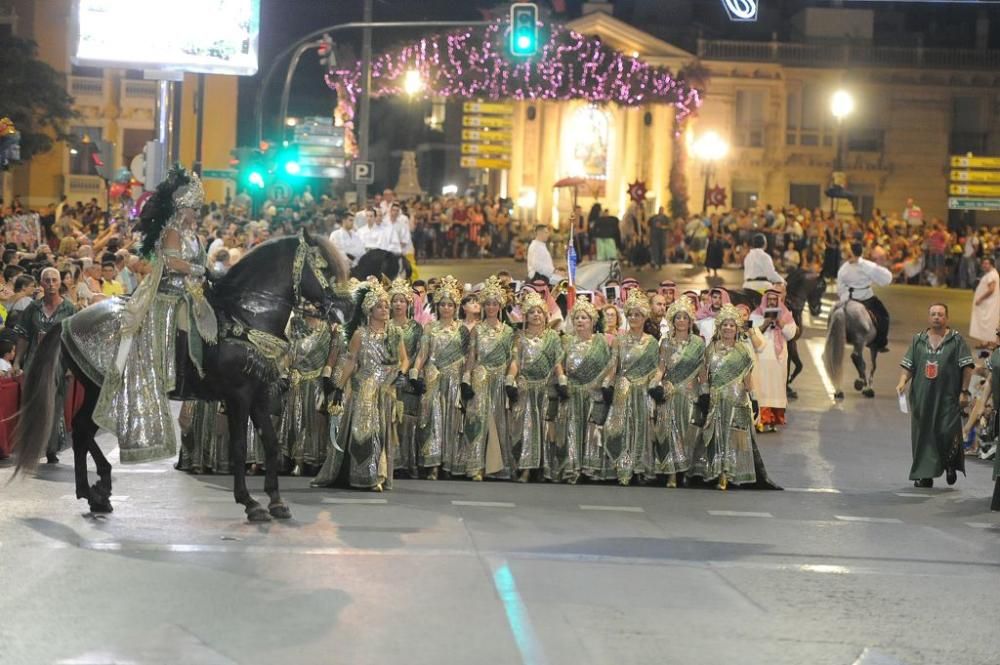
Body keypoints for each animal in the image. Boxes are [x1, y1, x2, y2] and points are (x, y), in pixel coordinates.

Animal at [12, 231, 352, 520]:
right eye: (323, 267)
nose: (345, 307)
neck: (245, 315)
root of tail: (68, 322)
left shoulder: (259, 394)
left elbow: (269, 442)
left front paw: (276, 501)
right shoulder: (239, 395)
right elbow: (240, 446)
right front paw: (249, 502)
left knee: (82, 430)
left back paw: (95, 492)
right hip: (99, 390)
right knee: (82, 430)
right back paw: (95, 488)